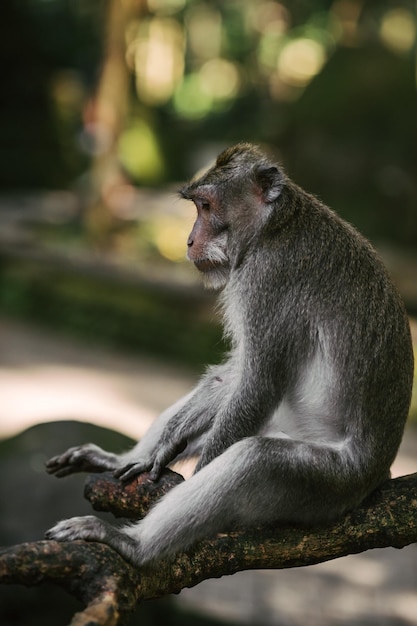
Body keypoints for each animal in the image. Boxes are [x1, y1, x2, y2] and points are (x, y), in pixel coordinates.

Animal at [45, 141, 412, 564]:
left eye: (206, 207)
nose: (188, 241)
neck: (275, 226)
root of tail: (379, 472)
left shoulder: (267, 280)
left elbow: (258, 384)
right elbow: (235, 374)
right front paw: (166, 440)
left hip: (333, 482)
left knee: (255, 458)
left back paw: (134, 545)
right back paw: (124, 459)